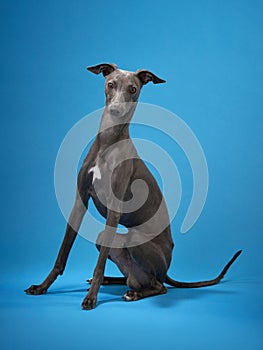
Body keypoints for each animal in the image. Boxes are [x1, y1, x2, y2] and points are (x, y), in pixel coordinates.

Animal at [25, 63, 242, 308]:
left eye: (133, 89)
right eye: (110, 84)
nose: (116, 111)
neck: (108, 142)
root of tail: (166, 271)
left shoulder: (114, 210)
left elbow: (99, 263)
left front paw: (91, 297)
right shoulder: (80, 202)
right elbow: (62, 255)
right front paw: (42, 287)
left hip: (136, 241)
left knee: (159, 287)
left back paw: (134, 293)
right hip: (106, 239)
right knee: (133, 277)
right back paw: (113, 281)